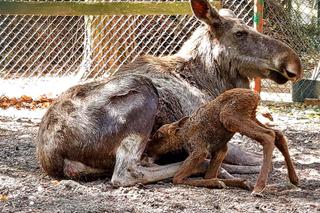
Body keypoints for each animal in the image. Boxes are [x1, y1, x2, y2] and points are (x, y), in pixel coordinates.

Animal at [146, 88, 298, 195]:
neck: (183, 136)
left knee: (268, 135)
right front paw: (241, 182)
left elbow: (177, 178)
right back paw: (294, 179)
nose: (147, 148)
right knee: (277, 133)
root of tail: (255, 95)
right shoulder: (220, 150)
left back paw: (259, 187)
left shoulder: (200, 150)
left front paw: (216, 183)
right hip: (251, 116)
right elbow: (208, 175)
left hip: (229, 117)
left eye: (158, 135)